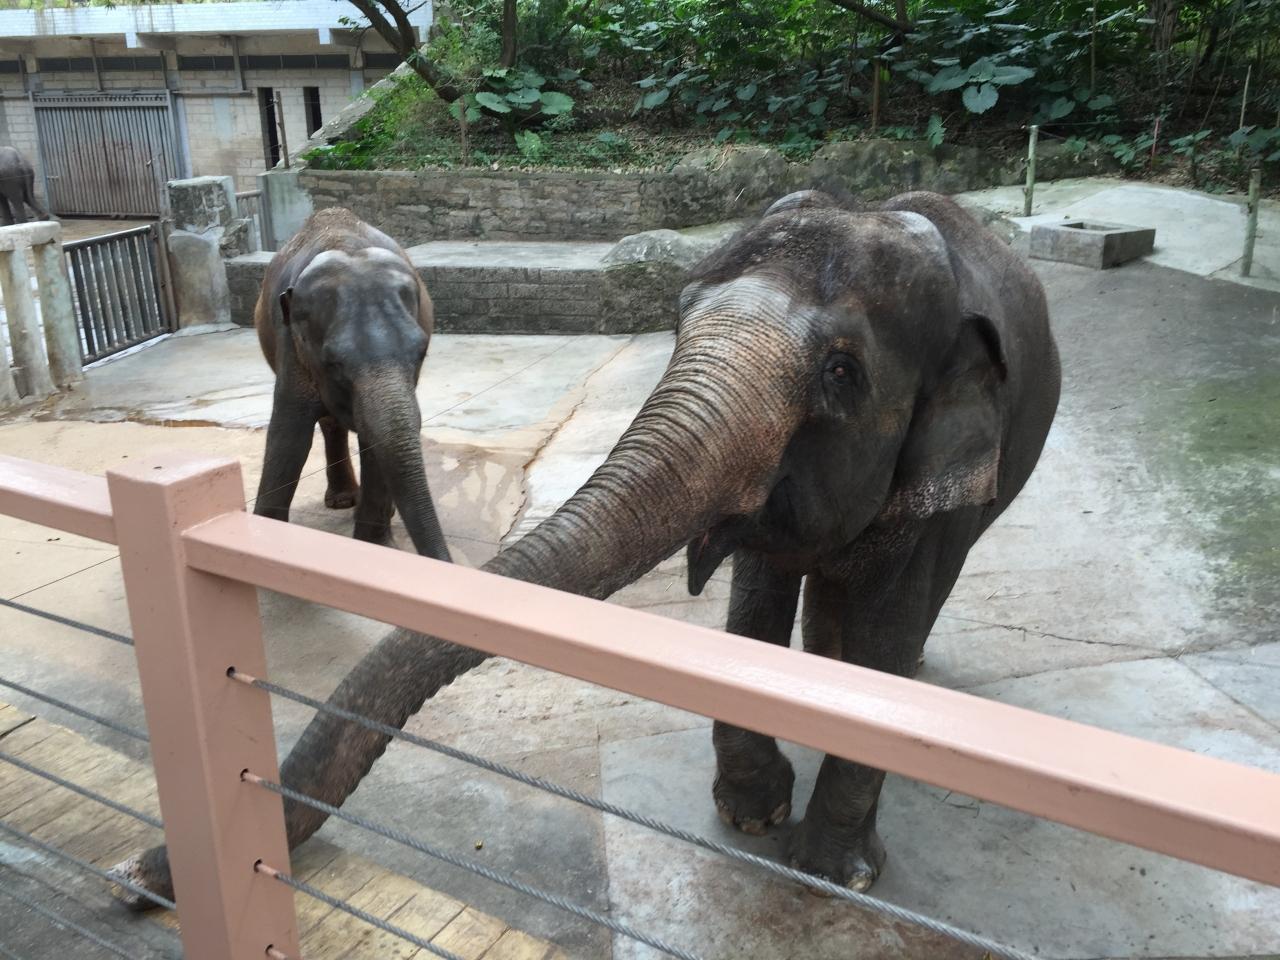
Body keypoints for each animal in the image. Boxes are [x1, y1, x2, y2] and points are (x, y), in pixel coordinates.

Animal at [252, 207, 453, 560]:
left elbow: (375, 441)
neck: (345, 246)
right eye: (333, 362)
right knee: (329, 423)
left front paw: (375, 549)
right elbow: (288, 436)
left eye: (421, 353)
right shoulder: (292, 346)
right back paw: (343, 501)